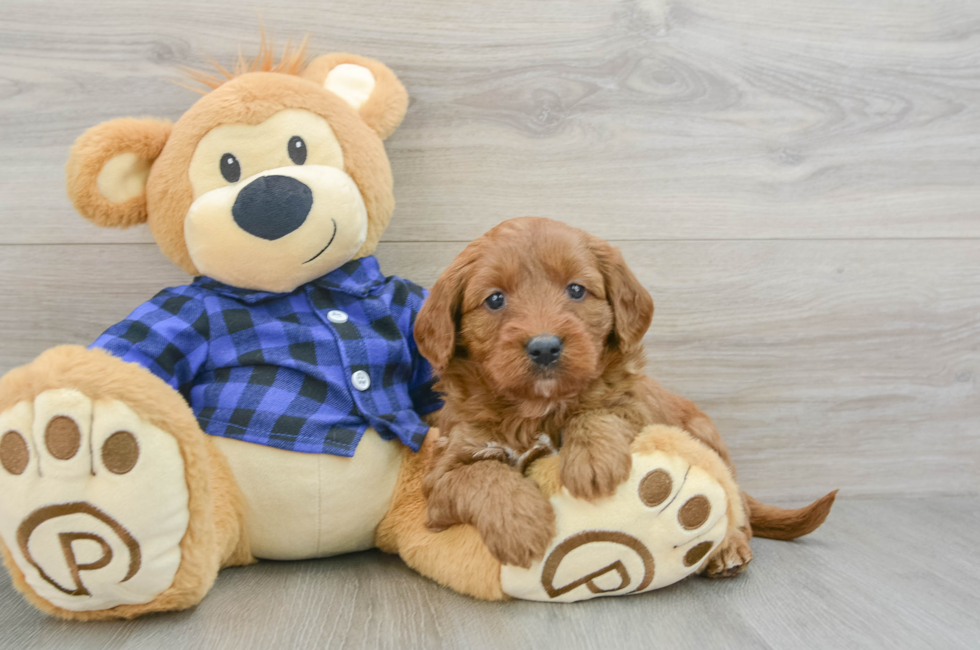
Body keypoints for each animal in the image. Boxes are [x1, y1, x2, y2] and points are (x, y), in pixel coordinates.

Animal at [414, 219, 836, 572]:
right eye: (495, 299)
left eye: (576, 289)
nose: (545, 346)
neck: (537, 408)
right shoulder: (442, 473)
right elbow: (480, 475)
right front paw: (521, 527)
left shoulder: (636, 408)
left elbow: (600, 411)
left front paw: (591, 461)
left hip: (708, 439)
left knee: (736, 506)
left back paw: (728, 546)